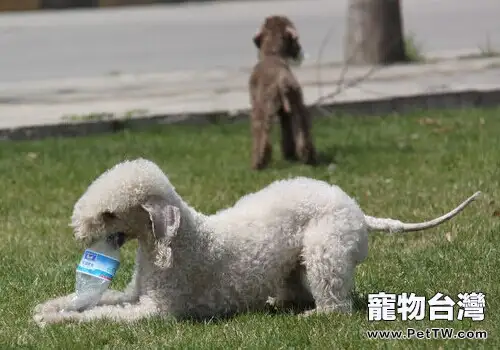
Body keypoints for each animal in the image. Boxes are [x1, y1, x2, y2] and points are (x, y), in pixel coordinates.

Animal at [33, 159, 478, 326]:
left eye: (109, 213)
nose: (78, 231)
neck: (182, 240)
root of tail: (356, 208)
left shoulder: (157, 309)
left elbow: (102, 314)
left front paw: (55, 321)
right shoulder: (135, 294)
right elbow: (102, 301)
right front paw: (49, 308)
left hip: (326, 248)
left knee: (335, 304)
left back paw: (312, 316)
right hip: (295, 260)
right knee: (296, 287)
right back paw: (279, 303)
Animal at [249, 14, 318, 170]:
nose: (300, 51)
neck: (272, 54)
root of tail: (282, 80)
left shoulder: (257, 103)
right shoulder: (285, 112)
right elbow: (287, 131)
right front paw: (289, 154)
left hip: (264, 107)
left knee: (262, 134)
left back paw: (258, 162)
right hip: (297, 103)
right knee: (302, 130)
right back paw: (307, 157)